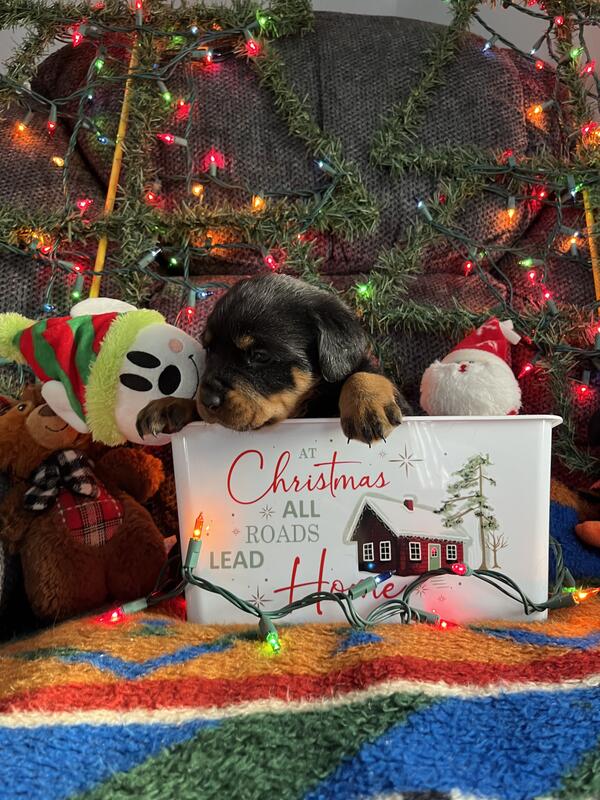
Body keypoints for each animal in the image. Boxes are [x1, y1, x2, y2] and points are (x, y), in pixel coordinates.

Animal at [136, 274, 406, 443]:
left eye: (260, 356)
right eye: (210, 350)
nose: (208, 399)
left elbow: (362, 373)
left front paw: (367, 405)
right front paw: (168, 406)